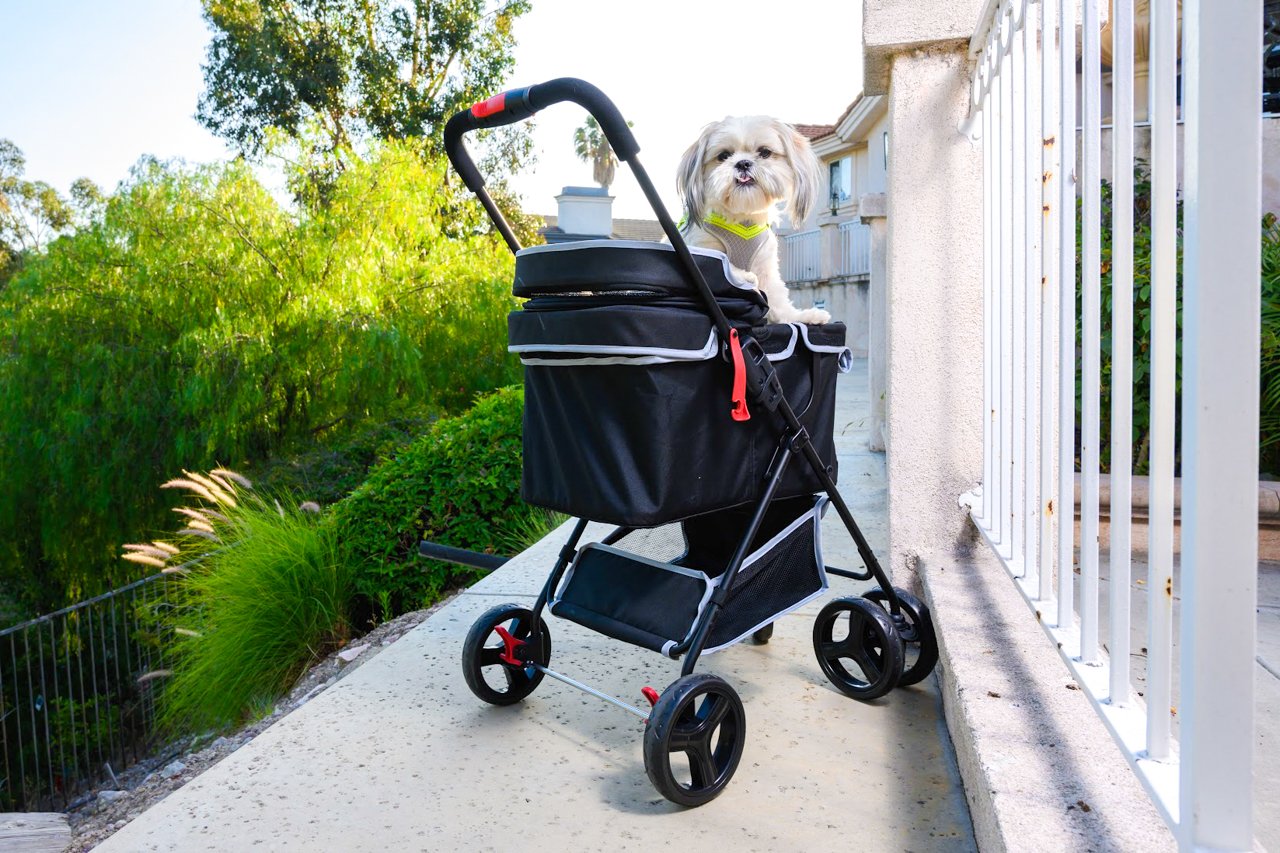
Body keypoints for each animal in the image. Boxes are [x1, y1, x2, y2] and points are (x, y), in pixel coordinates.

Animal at [675, 112, 834, 322]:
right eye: (723, 155)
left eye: (764, 152)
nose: (742, 163)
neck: (743, 218)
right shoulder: (698, 251)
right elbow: (719, 264)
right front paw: (742, 276)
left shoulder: (766, 265)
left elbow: (777, 299)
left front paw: (801, 317)